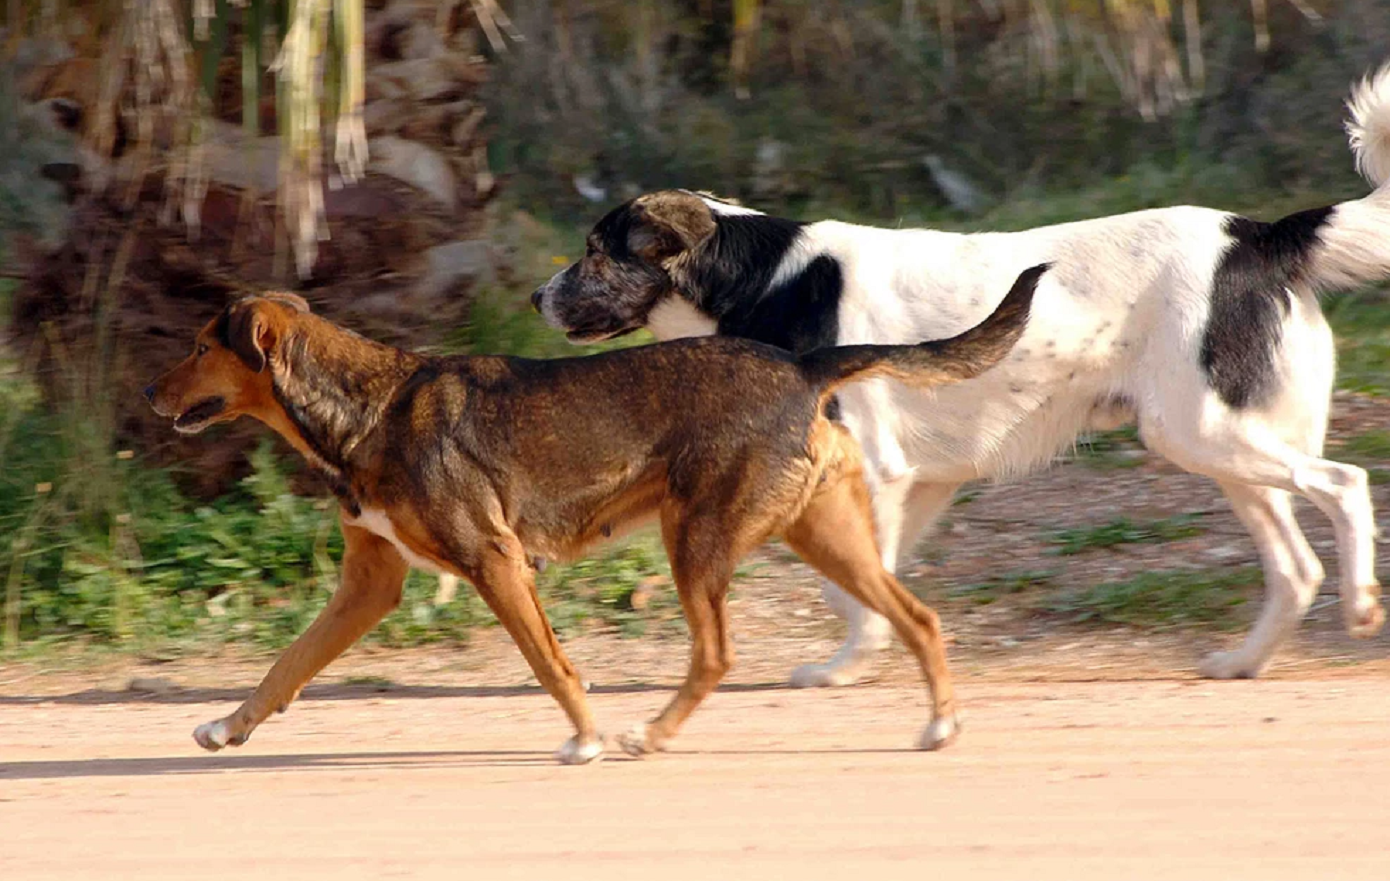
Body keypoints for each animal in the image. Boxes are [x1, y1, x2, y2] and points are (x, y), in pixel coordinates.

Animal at [146, 262, 1045, 761]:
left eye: (199, 346)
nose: (150, 394)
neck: (369, 406)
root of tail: (803, 363)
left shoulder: (496, 560)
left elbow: (551, 663)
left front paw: (583, 738)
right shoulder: (370, 583)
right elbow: (286, 664)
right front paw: (228, 727)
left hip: (700, 540)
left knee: (716, 652)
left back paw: (649, 735)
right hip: (824, 536)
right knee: (921, 616)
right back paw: (939, 725)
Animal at [530, 65, 1390, 678]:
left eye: (597, 251)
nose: (537, 296)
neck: (764, 277)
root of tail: (1260, 236)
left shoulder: (876, 472)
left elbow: (854, 590)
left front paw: (843, 667)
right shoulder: (919, 482)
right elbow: (860, 586)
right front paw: (861, 660)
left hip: (1206, 432)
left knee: (1345, 484)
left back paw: (1359, 608)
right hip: (1220, 446)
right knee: (1295, 566)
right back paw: (1243, 661)